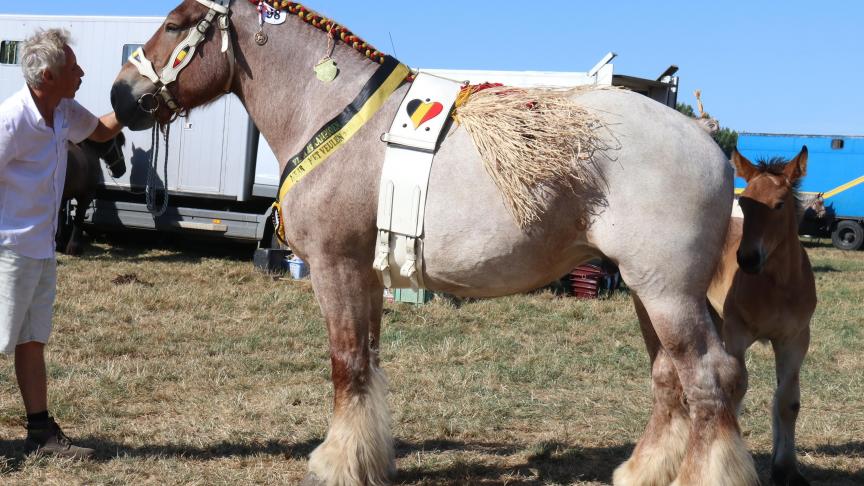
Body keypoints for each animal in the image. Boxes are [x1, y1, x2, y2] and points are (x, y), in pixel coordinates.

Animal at [111, 1, 760, 484]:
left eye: (175, 24)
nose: (120, 96)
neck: (334, 113)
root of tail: (711, 147)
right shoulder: (367, 275)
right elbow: (368, 363)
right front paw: (367, 459)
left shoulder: (336, 267)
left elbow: (346, 363)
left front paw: (336, 464)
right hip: (651, 294)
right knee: (671, 378)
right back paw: (643, 471)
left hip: (666, 292)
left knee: (710, 377)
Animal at [708, 145, 816, 486]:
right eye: (743, 202)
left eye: (779, 204)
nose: (748, 259)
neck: (779, 286)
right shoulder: (737, 334)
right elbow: (736, 389)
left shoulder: (795, 339)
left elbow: (787, 401)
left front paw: (786, 468)